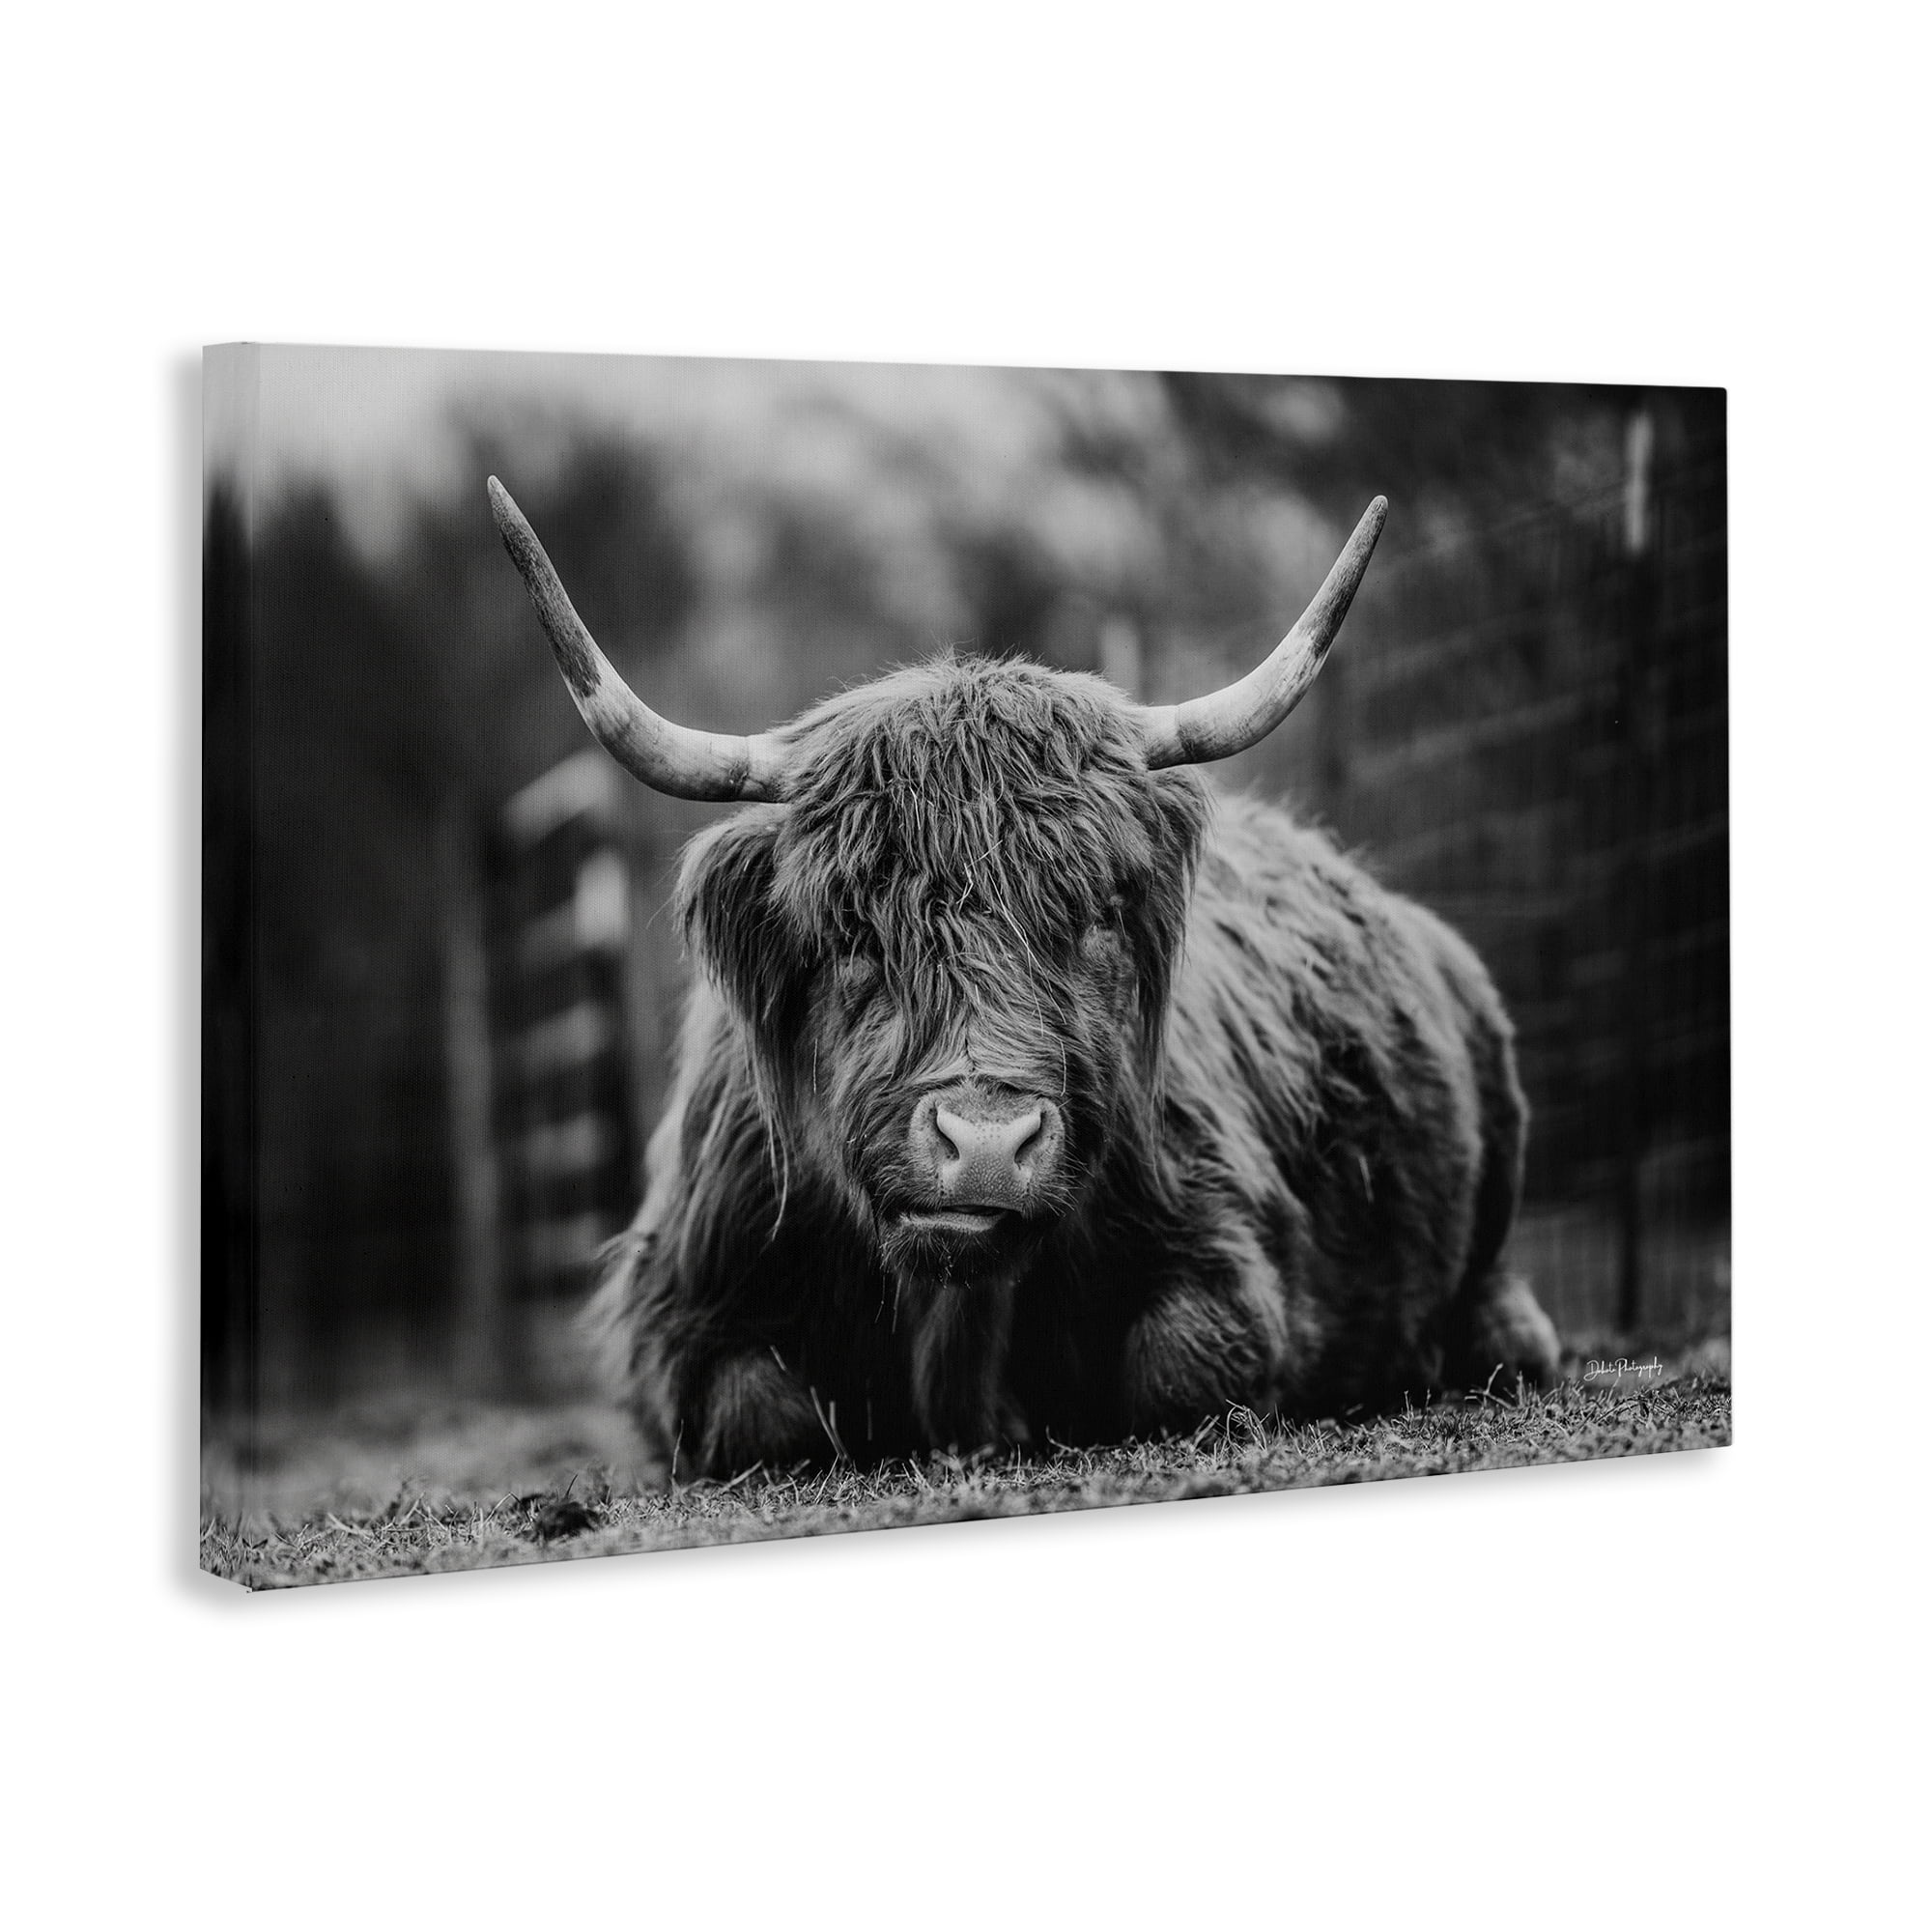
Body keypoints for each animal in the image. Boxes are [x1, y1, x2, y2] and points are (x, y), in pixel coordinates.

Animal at [488, 476, 1561, 1479]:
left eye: (1091, 917)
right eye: (852, 929)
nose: (987, 1145)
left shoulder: (1223, 1251)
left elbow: (1183, 1364)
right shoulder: (681, 1306)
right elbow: (759, 1412)